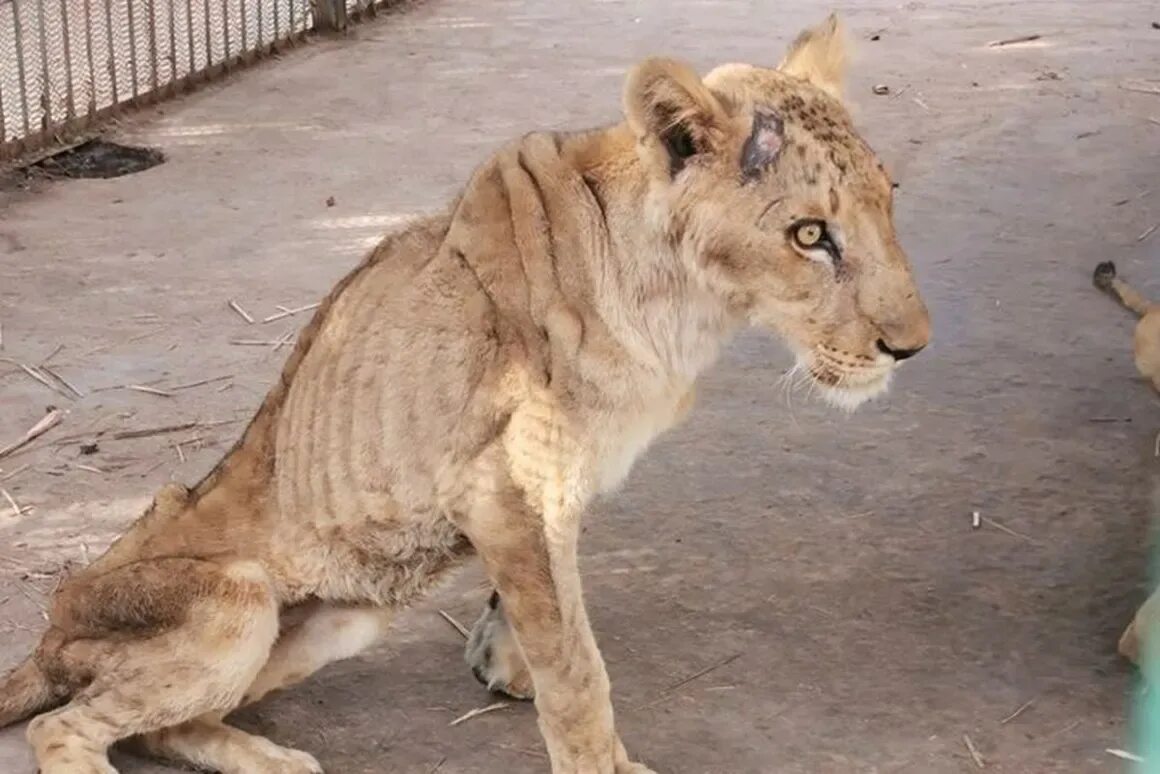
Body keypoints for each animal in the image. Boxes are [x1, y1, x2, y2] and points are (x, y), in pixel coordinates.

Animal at [0, 13, 928, 774]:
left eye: (888, 201)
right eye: (808, 234)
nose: (910, 347)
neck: (686, 309)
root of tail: (46, 631)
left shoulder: (546, 491)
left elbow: (546, 618)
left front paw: (502, 659)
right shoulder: (509, 487)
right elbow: (576, 668)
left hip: (345, 617)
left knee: (159, 727)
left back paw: (274, 761)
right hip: (236, 602)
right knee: (64, 726)